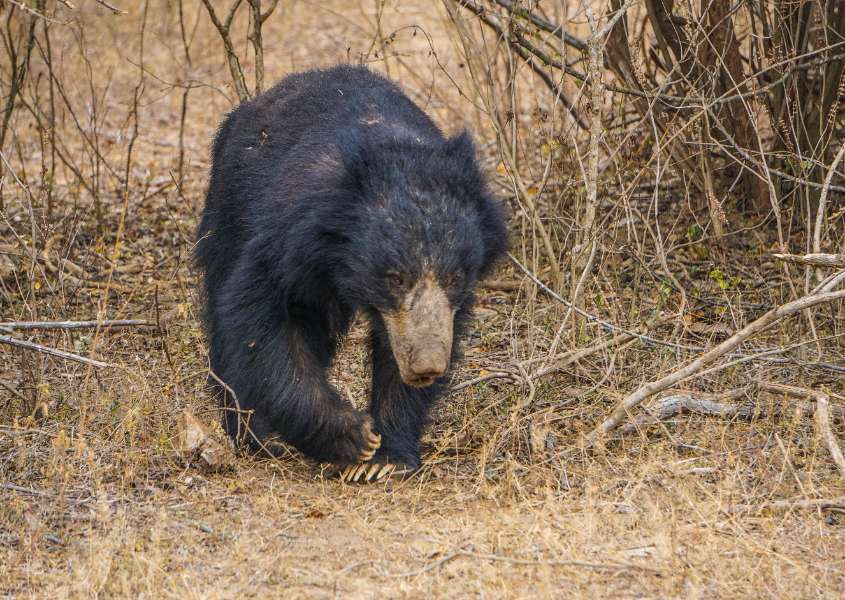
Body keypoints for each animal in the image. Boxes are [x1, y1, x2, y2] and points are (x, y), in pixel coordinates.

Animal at [195, 65, 504, 482]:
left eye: (455, 278)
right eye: (395, 277)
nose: (426, 366)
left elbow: (396, 351)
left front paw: (384, 459)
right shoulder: (288, 243)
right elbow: (265, 325)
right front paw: (355, 436)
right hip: (227, 211)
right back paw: (255, 434)